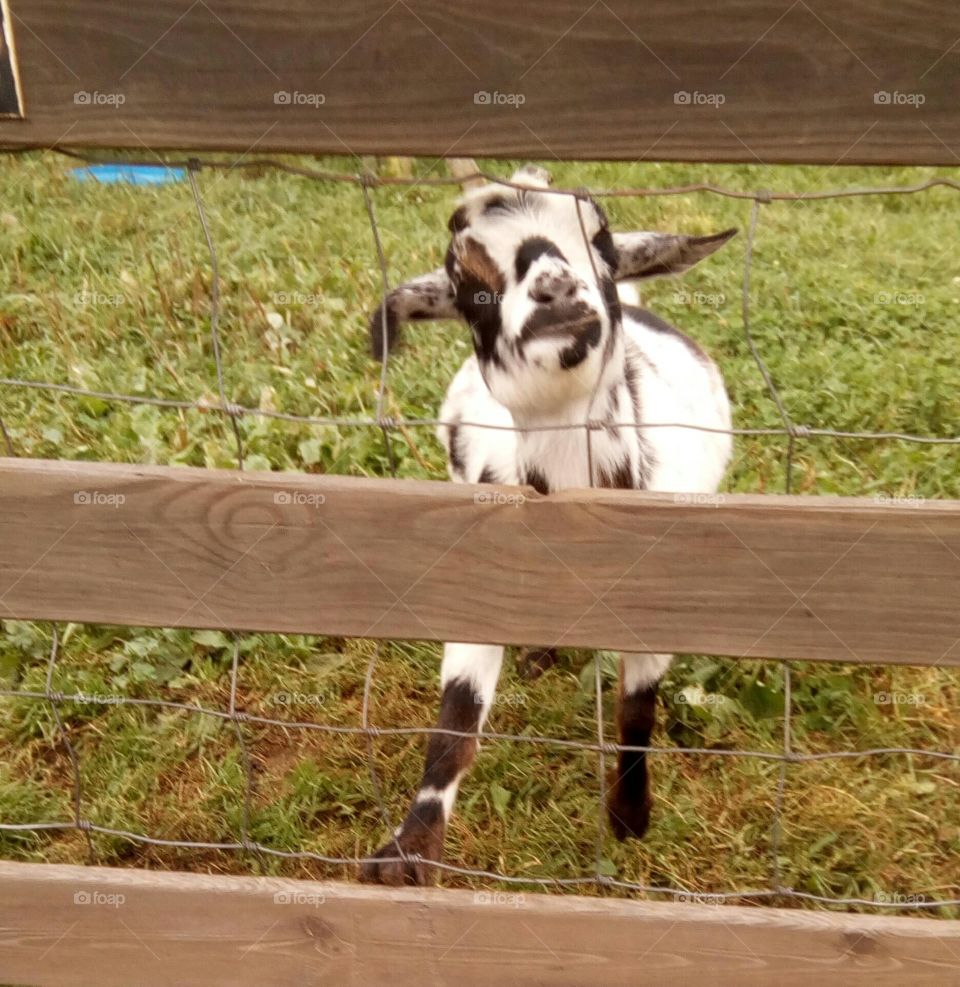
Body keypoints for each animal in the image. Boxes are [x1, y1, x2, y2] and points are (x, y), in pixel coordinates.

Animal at [360, 165, 736, 885]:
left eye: (602, 240)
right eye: (464, 276)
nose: (556, 288)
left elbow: (637, 711)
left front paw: (629, 818)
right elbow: (456, 721)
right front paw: (409, 852)